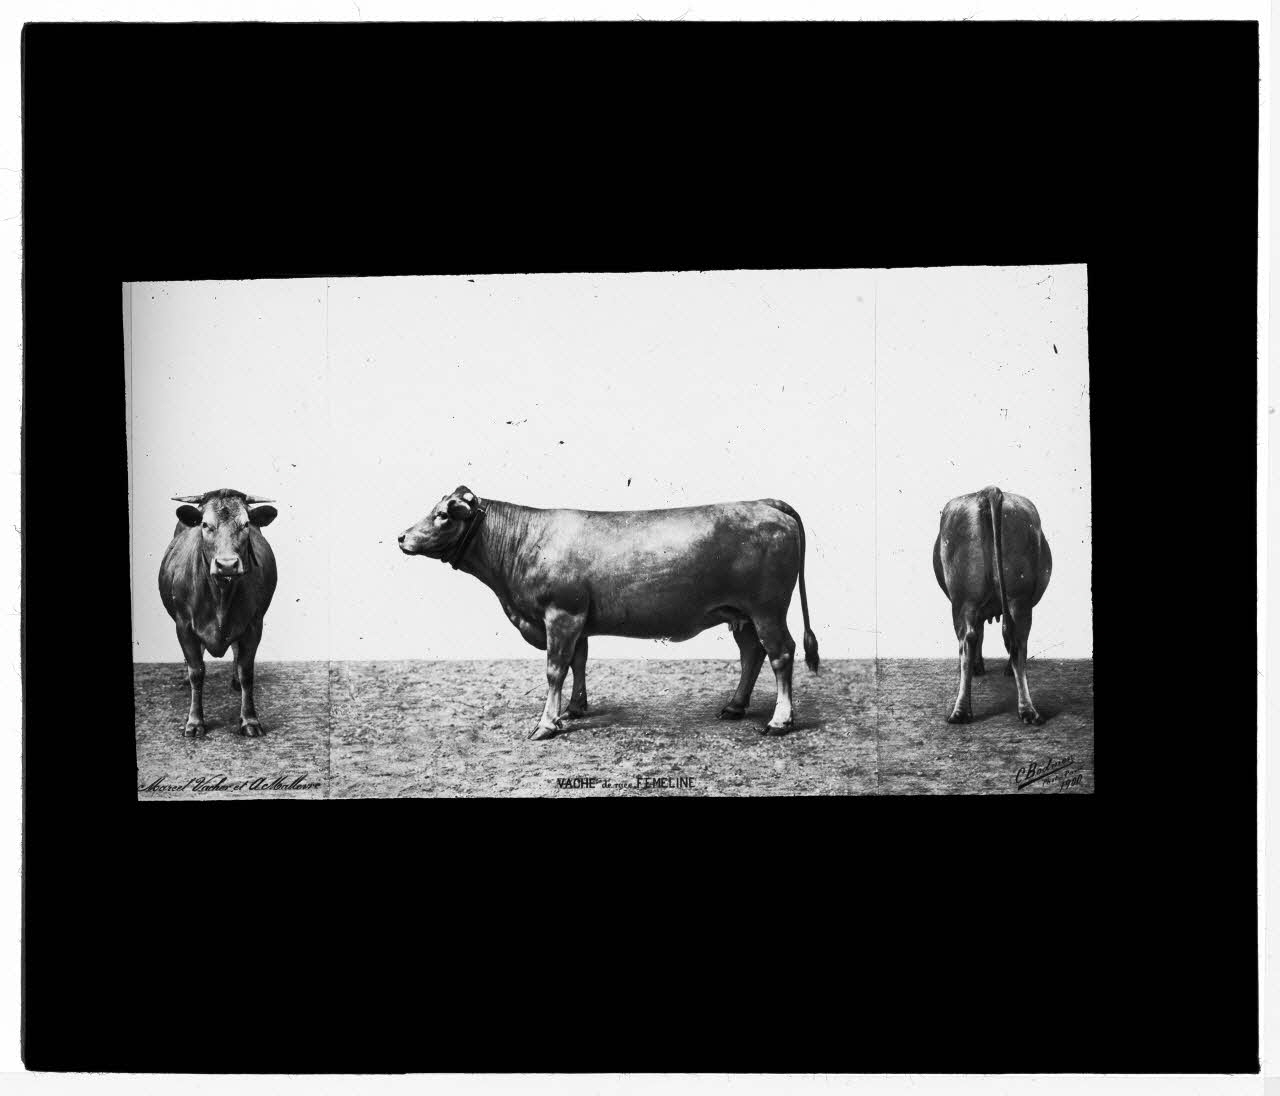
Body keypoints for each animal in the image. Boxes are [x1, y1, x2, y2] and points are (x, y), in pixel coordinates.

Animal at [158, 488, 279, 737]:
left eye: (245, 524)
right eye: (205, 524)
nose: (227, 564)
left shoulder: (254, 625)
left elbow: (246, 671)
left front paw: (249, 720)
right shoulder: (183, 626)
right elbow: (197, 672)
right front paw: (195, 722)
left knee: (235, 652)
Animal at [398, 486, 819, 740]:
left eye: (443, 515)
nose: (401, 536)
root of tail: (765, 502)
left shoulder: (561, 613)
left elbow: (554, 669)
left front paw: (547, 724)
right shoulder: (577, 621)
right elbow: (578, 662)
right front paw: (574, 708)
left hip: (767, 608)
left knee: (781, 653)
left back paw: (779, 720)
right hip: (740, 613)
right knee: (752, 653)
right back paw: (734, 706)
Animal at [932, 485, 1052, 725]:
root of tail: (989, 491)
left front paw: (979, 667)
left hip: (965, 601)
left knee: (969, 641)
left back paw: (961, 712)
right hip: (1017, 600)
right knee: (1016, 641)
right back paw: (1028, 711)